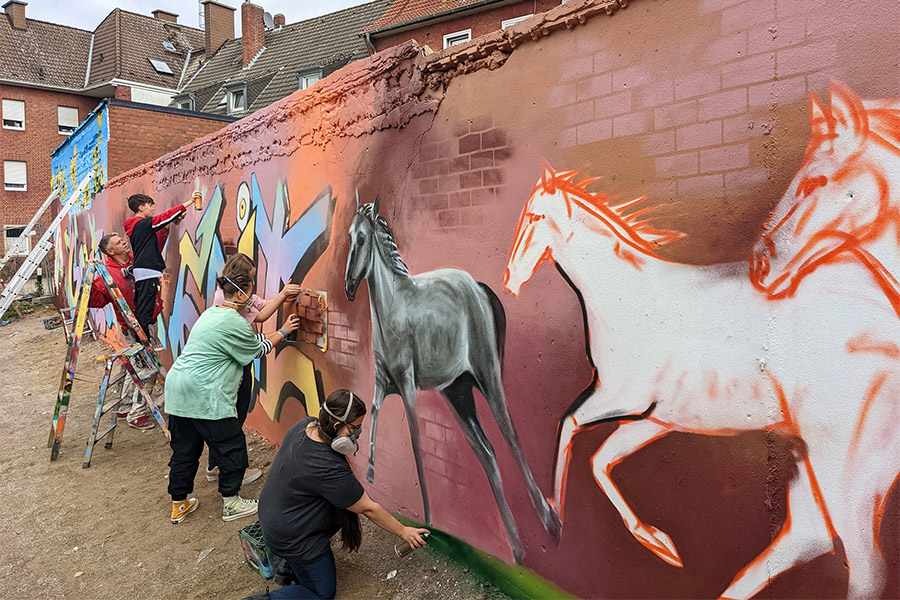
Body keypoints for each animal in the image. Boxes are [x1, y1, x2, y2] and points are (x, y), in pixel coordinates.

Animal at [502, 152, 896, 592]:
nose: (509, 281)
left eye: (534, 216)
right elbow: (601, 459)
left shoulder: (620, 397)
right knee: (810, 536)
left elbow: (569, 426)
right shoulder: (659, 418)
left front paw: (553, 516)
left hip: (847, 467)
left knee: (858, 562)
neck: (630, 296)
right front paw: (660, 545)